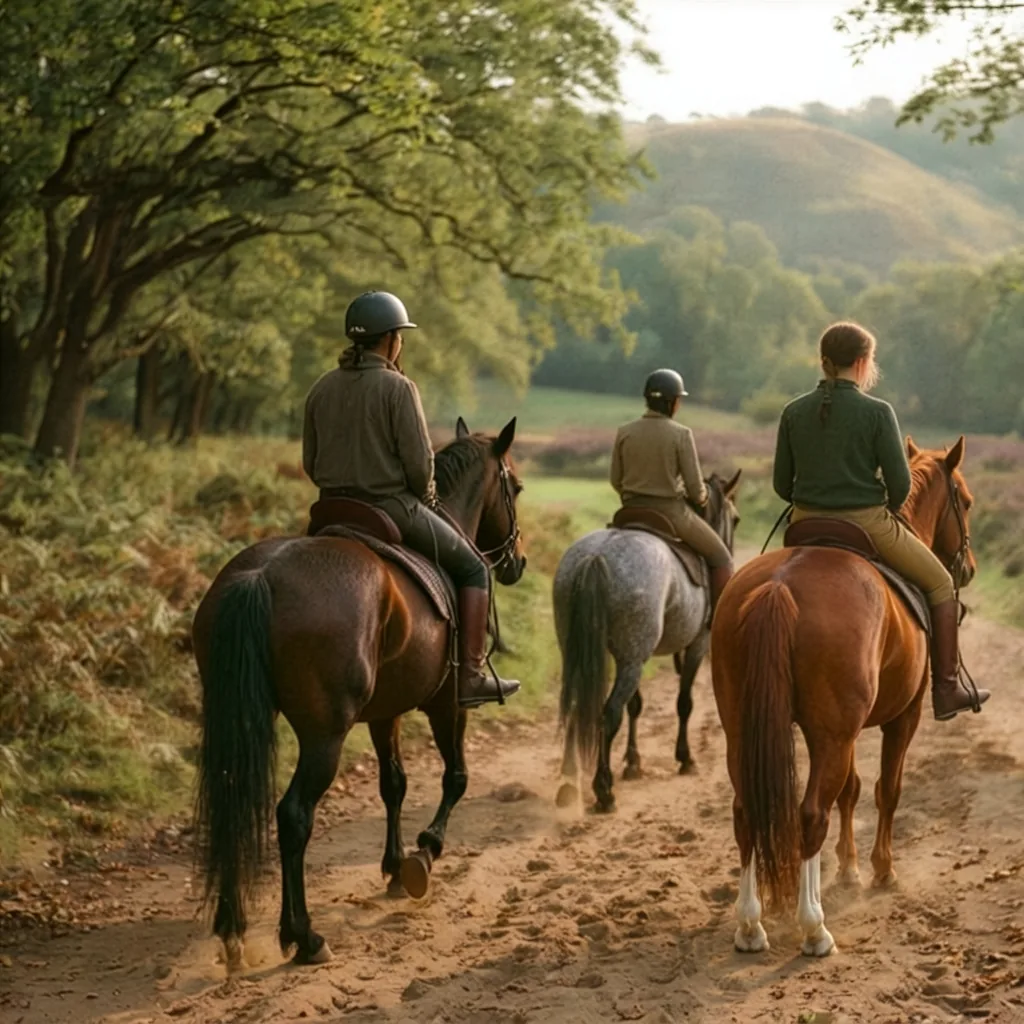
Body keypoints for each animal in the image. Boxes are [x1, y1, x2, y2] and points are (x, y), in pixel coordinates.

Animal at [191, 417, 526, 973]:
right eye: (515, 488)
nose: (517, 562)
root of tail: (260, 576)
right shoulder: (446, 703)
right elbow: (455, 777)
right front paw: (424, 852)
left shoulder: (384, 713)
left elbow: (394, 783)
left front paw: (393, 868)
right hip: (325, 735)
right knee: (293, 817)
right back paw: (304, 937)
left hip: (236, 720)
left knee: (230, 805)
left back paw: (232, 930)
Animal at [553, 471, 742, 812]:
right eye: (735, 519)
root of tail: (597, 556)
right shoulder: (696, 645)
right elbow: (684, 702)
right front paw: (685, 759)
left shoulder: (634, 654)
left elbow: (636, 705)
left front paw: (633, 763)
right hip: (632, 659)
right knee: (609, 714)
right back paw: (604, 791)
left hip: (586, 653)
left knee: (576, 706)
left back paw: (569, 784)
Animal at [711, 437, 976, 957]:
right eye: (968, 502)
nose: (969, 569)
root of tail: (779, 586)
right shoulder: (902, 717)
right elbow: (886, 789)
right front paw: (881, 870)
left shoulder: (845, 731)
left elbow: (850, 791)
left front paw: (850, 868)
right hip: (832, 734)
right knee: (812, 813)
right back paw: (814, 927)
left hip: (747, 730)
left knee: (746, 810)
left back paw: (750, 925)